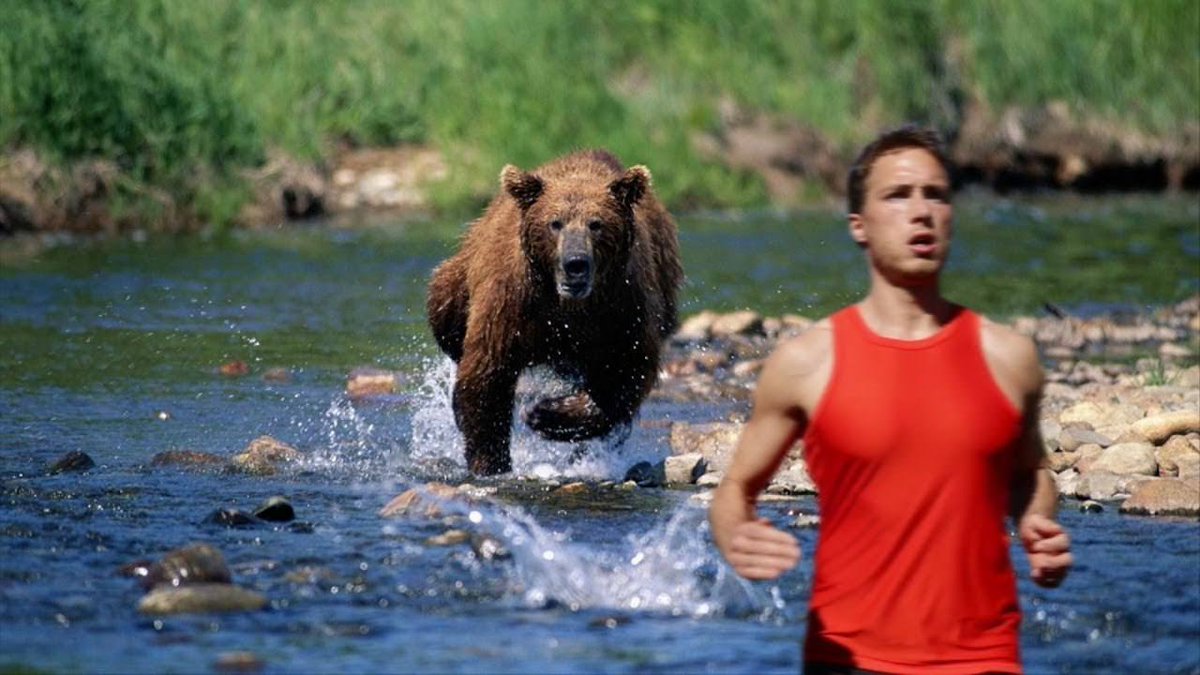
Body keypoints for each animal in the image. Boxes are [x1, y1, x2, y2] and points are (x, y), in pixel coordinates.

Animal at [426, 149, 683, 475]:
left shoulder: (623, 308)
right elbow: (488, 375)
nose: (575, 263)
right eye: (555, 223)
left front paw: (545, 415)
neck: (567, 306)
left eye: (596, 223)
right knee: (445, 312)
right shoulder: (511, 303)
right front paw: (490, 461)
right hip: (459, 280)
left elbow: (625, 372)